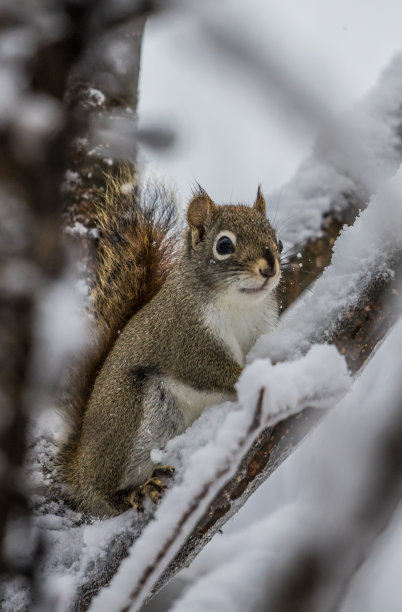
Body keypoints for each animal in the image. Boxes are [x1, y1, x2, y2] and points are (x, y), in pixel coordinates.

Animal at [57, 170, 282, 520]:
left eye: (277, 240)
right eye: (224, 245)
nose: (269, 266)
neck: (238, 305)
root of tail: (79, 467)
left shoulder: (262, 326)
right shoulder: (183, 337)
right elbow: (206, 369)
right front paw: (249, 377)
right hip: (127, 413)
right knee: (106, 495)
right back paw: (134, 491)